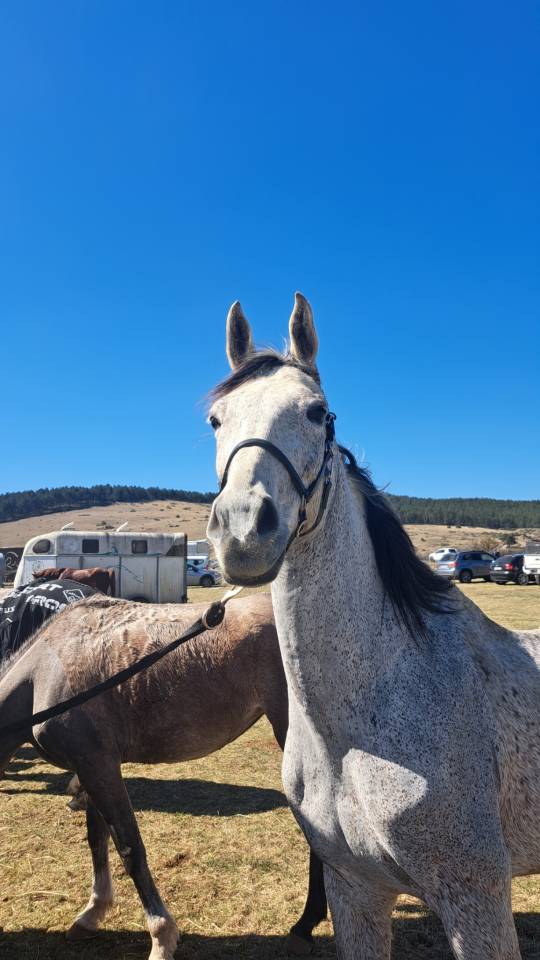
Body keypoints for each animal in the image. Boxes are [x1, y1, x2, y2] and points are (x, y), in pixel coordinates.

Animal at [0, 591, 327, 957]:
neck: (43, 671)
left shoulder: (99, 767)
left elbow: (130, 848)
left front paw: (161, 936)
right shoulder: (91, 767)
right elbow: (97, 838)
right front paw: (92, 913)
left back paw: (304, 924)